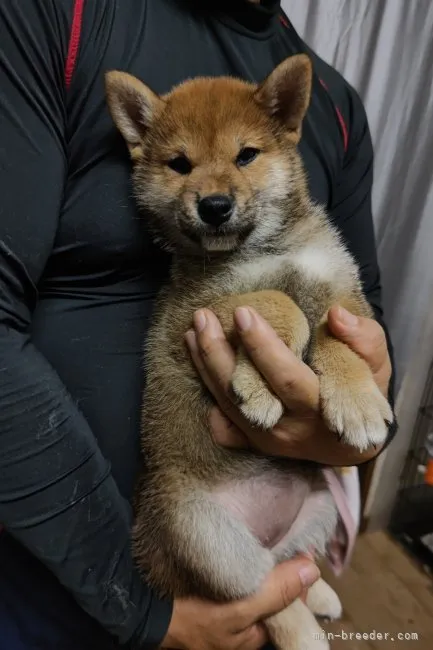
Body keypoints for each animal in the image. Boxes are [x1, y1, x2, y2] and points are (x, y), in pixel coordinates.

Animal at [105, 55, 392, 648]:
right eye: (180, 164)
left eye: (246, 155)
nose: (215, 206)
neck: (267, 250)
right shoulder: (190, 317)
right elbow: (280, 303)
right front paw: (257, 388)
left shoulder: (343, 296)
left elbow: (334, 335)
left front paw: (357, 401)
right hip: (205, 536)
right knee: (264, 595)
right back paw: (306, 631)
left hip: (320, 507)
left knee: (293, 562)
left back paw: (319, 590)